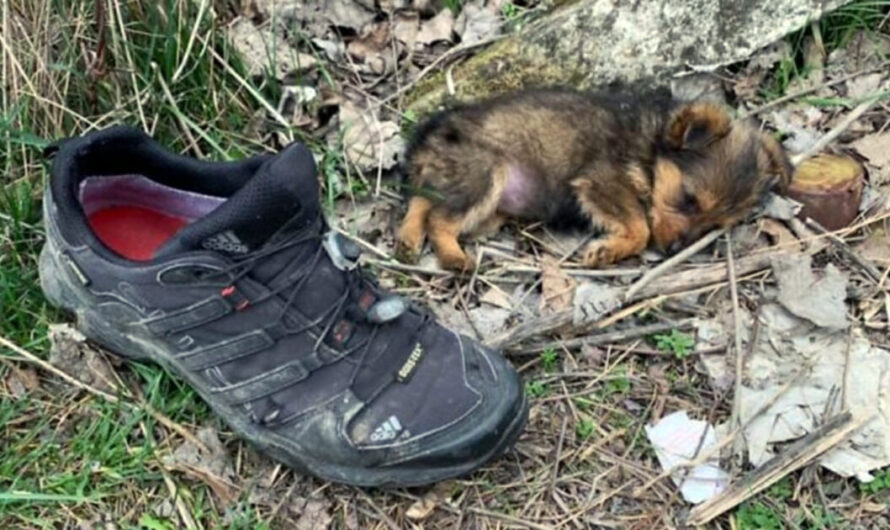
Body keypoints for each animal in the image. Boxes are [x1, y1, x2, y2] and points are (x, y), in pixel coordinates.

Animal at [396, 87, 792, 270]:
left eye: (713, 226)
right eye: (688, 200)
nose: (673, 251)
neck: (650, 148)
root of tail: (428, 136)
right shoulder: (601, 182)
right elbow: (640, 227)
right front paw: (607, 250)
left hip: (464, 185)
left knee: (422, 199)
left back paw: (408, 239)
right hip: (484, 175)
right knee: (438, 218)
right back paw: (453, 256)